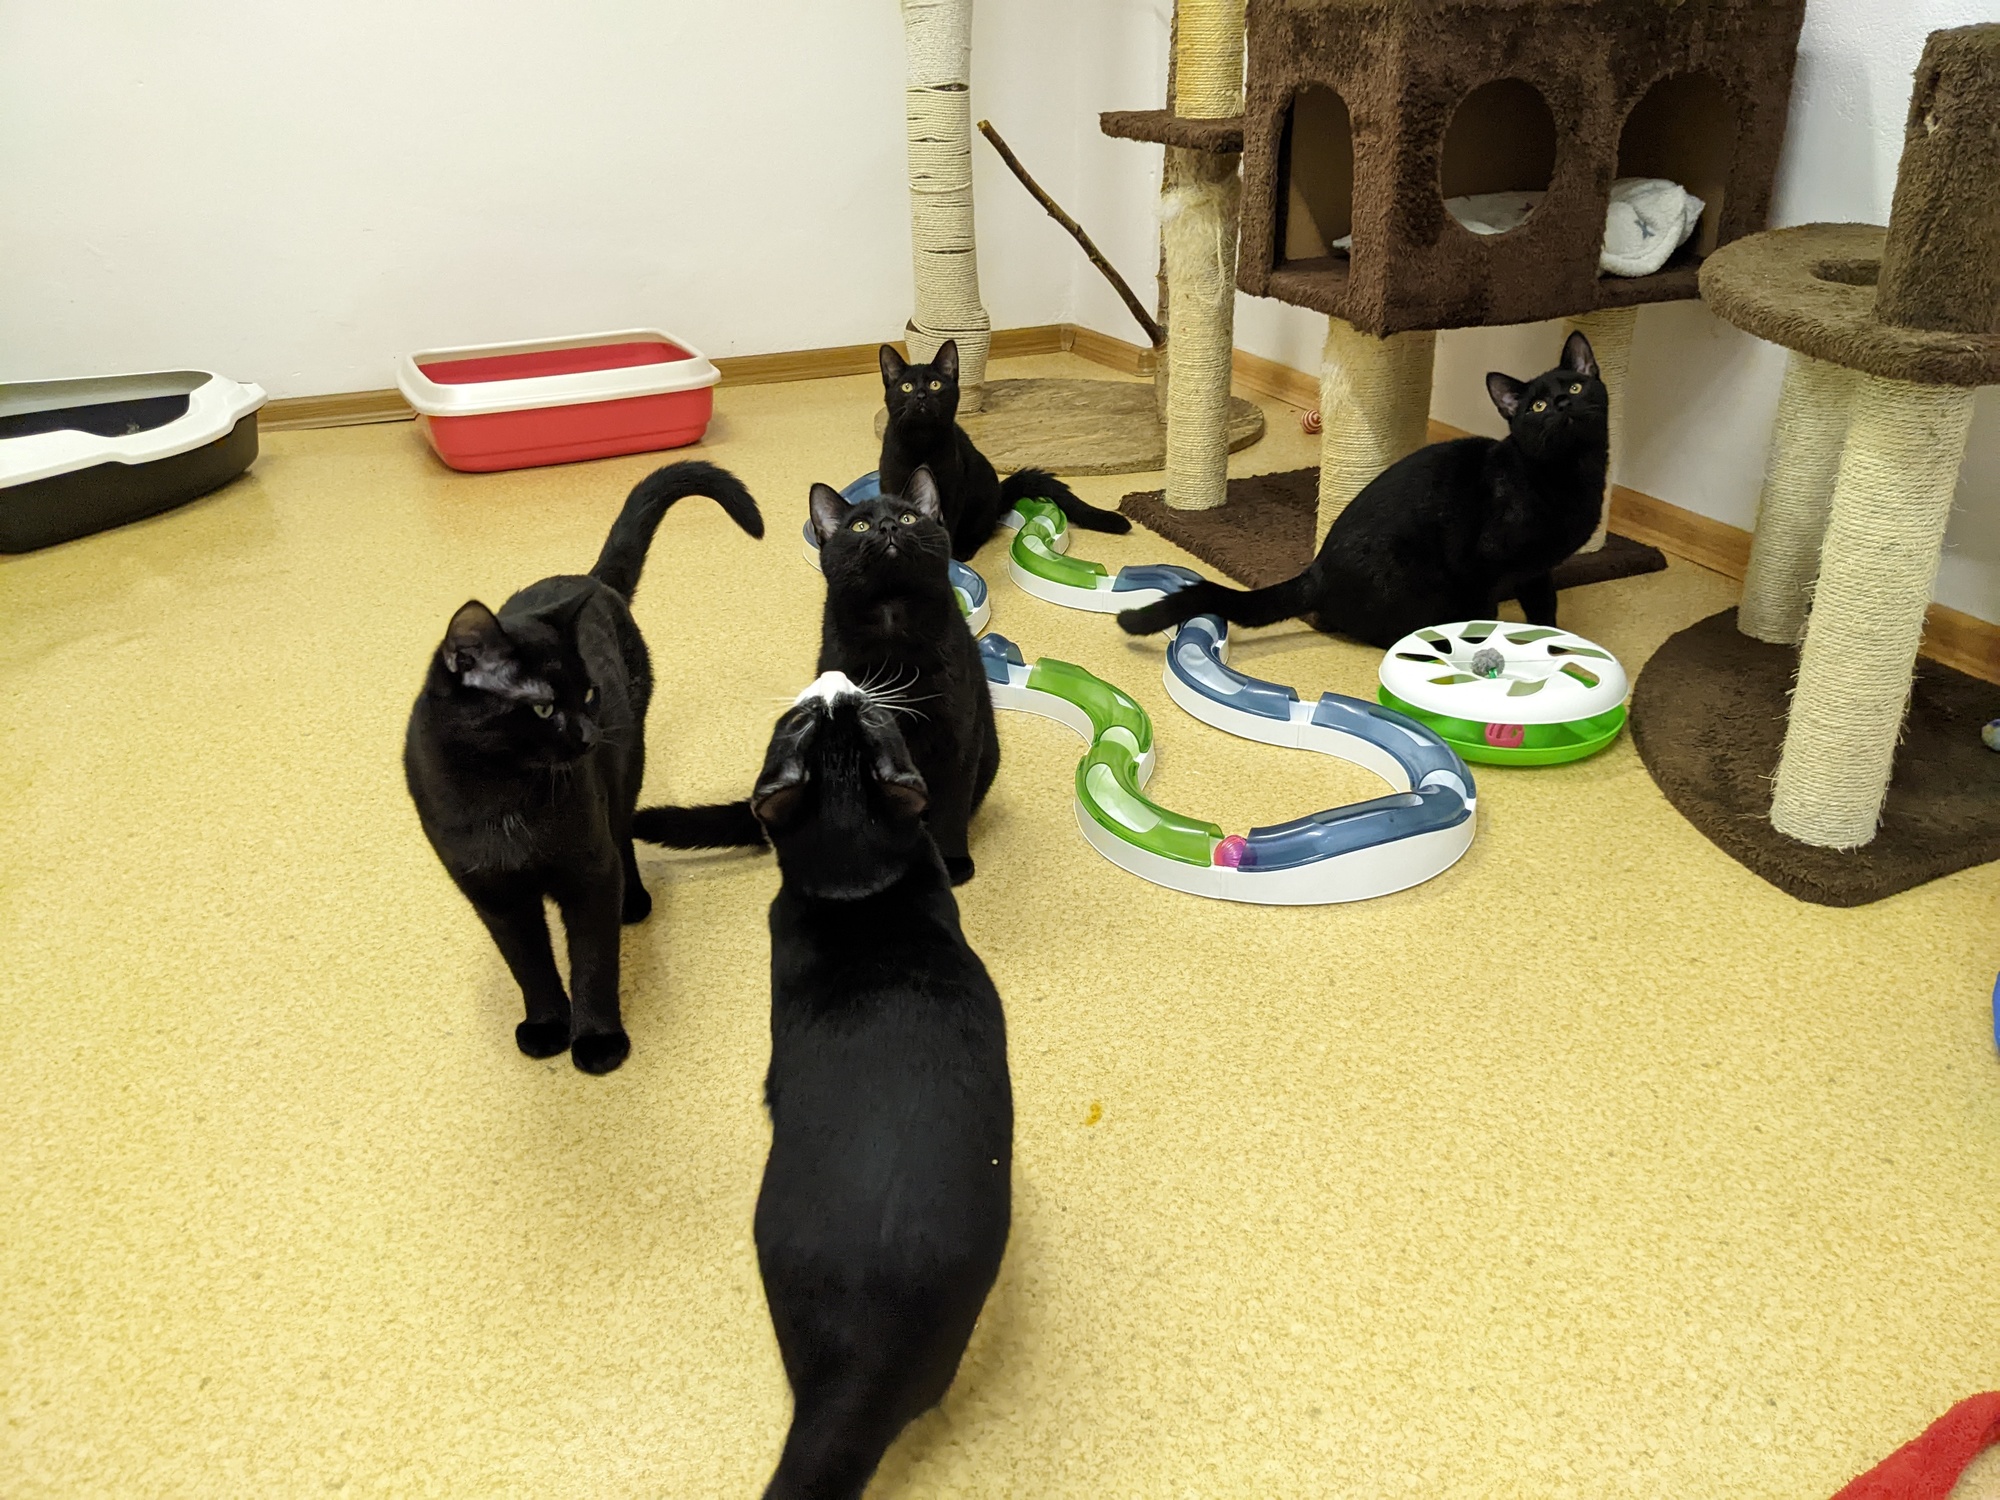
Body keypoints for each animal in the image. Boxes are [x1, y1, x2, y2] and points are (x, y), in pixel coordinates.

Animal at [403, 460, 764, 1075]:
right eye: (545, 708)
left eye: (589, 694)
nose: (591, 735)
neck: (504, 795)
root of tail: (589, 578)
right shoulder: (493, 894)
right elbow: (529, 965)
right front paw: (548, 1025)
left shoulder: (587, 873)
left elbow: (594, 962)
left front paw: (597, 1039)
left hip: (627, 767)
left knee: (623, 836)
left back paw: (634, 902)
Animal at [809, 465, 999, 886]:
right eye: (860, 525)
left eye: (909, 518)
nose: (887, 526)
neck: (892, 617)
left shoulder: (958, 737)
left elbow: (950, 807)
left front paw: (952, 862)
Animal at [879, 338, 1131, 560]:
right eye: (907, 387)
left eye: (935, 384)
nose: (921, 395)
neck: (921, 441)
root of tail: (1000, 494)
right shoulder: (892, 483)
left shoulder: (952, 490)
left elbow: (946, 525)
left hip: (981, 501)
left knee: (982, 530)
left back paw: (965, 549)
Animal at [1118, 331, 1610, 648]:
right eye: (1536, 406)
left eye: (1577, 385)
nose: (1560, 403)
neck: (1571, 477)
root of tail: (1315, 572)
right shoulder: (1480, 570)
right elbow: (1483, 618)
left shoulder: (1536, 570)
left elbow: (1546, 609)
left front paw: (1555, 644)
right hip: (1420, 587)